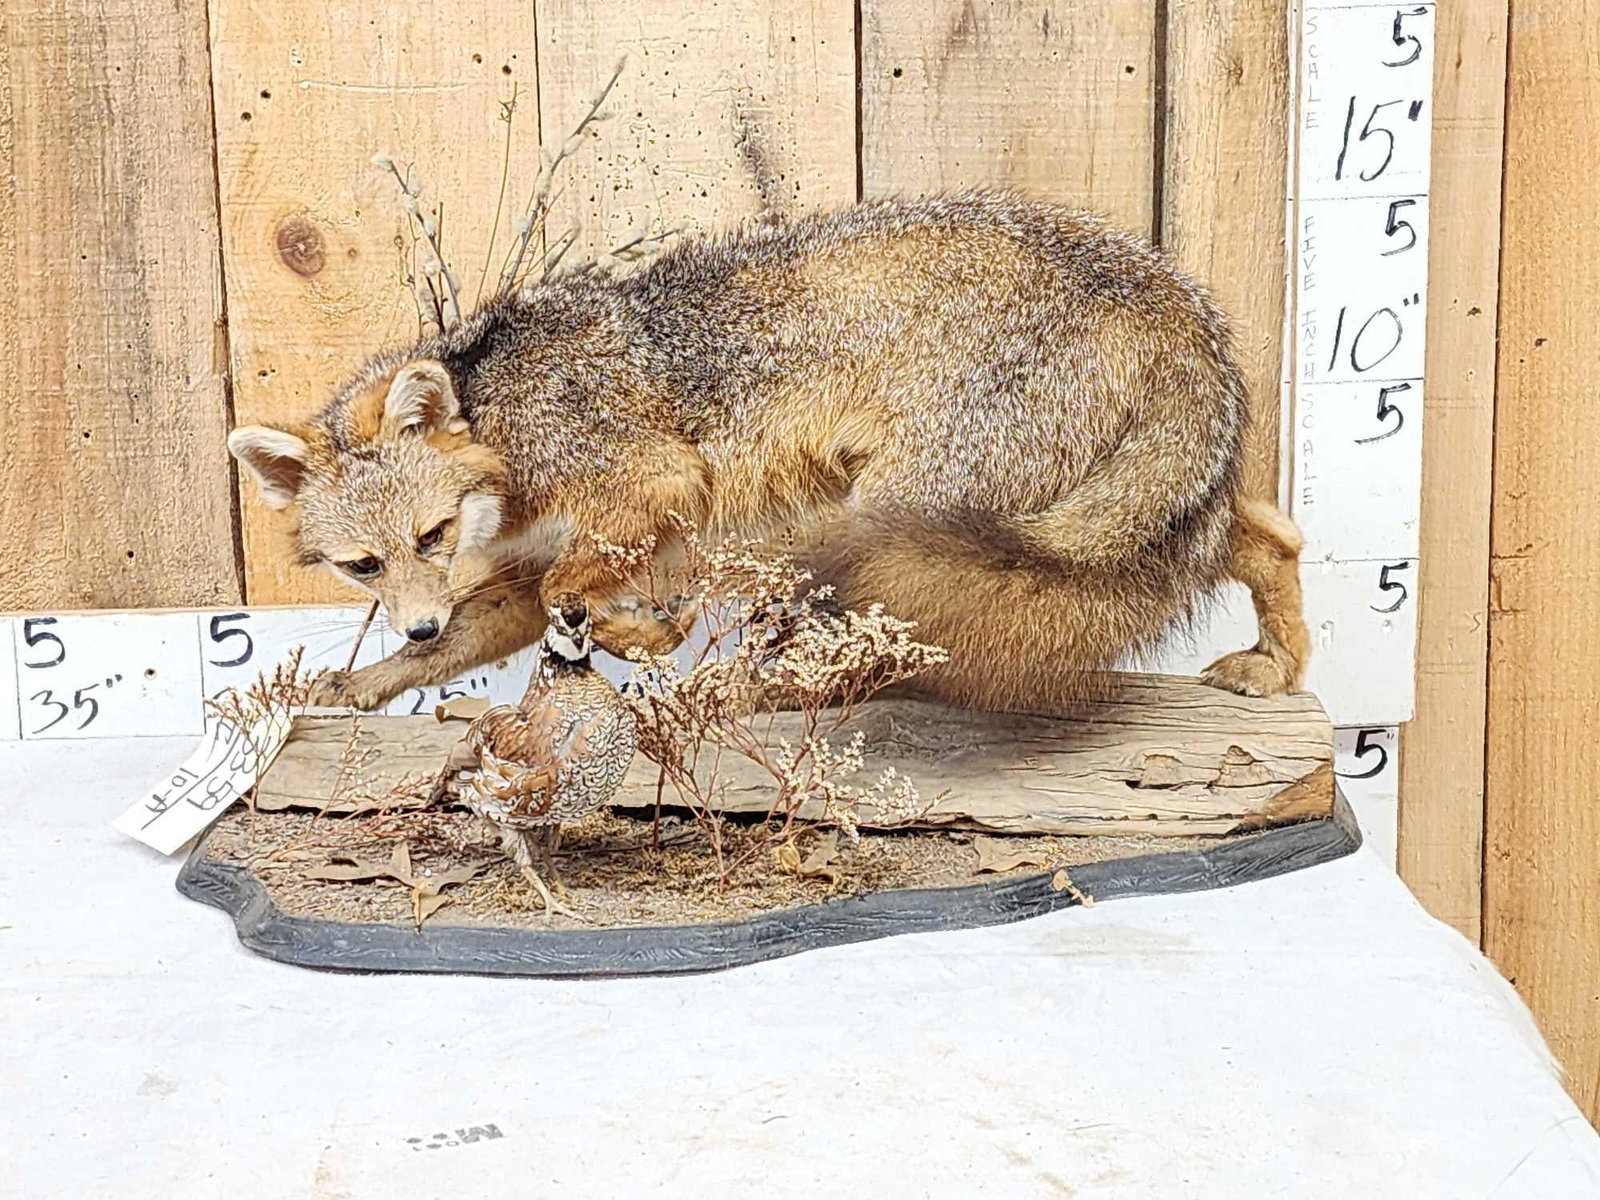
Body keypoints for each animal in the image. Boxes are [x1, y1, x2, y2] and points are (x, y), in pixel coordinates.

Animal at [228, 191, 1308, 713]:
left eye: (433, 532)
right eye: (363, 566)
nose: (409, 618)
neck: (499, 405)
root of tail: (1164, 285)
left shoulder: (649, 485)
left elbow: (570, 597)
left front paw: (640, 637)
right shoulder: (572, 547)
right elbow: (490, 628)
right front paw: (371, 683)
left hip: (899, 518)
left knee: (871, 646)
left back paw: (742, 693)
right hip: (1096, 513)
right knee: (1272, 536)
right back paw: (1279, 667)